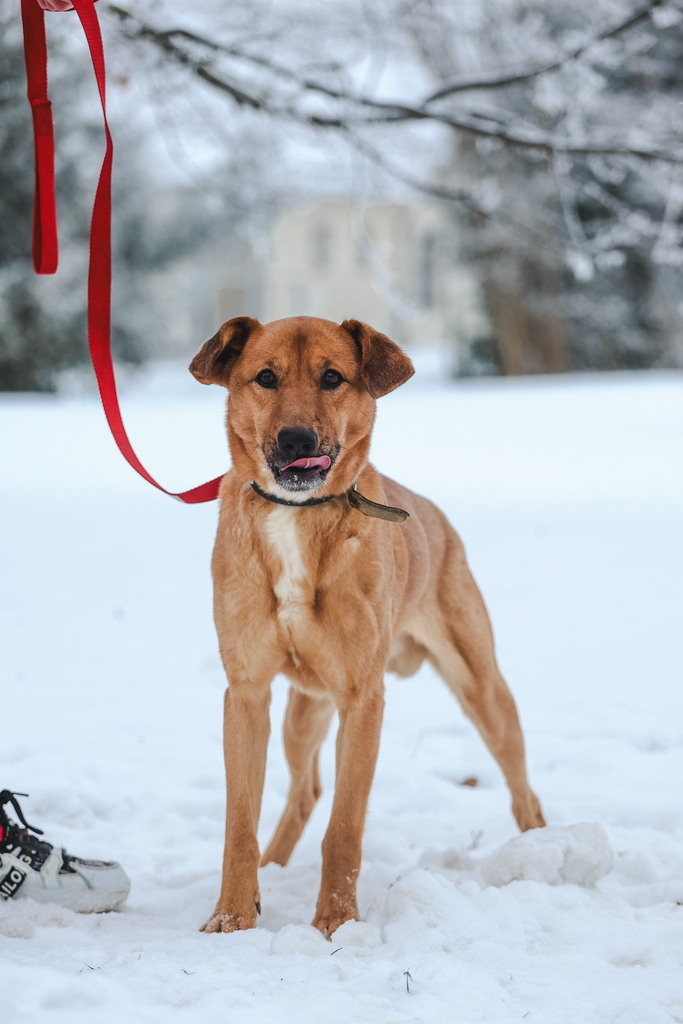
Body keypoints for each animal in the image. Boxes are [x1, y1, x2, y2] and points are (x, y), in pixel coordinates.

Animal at [189, 315, 545, 937]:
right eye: (265, 377)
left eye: (333, 377)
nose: (297, 441)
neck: (296, 516)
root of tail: (436, 517)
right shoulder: (248, 693)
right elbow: (239, 823)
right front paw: (232, 916)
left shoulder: (362, 700)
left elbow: (345, 828)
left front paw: (335, 924)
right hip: (303, 711)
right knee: (305, 790)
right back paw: (272, 868)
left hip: (482, 688)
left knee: (523, 790)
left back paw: (544, 857)